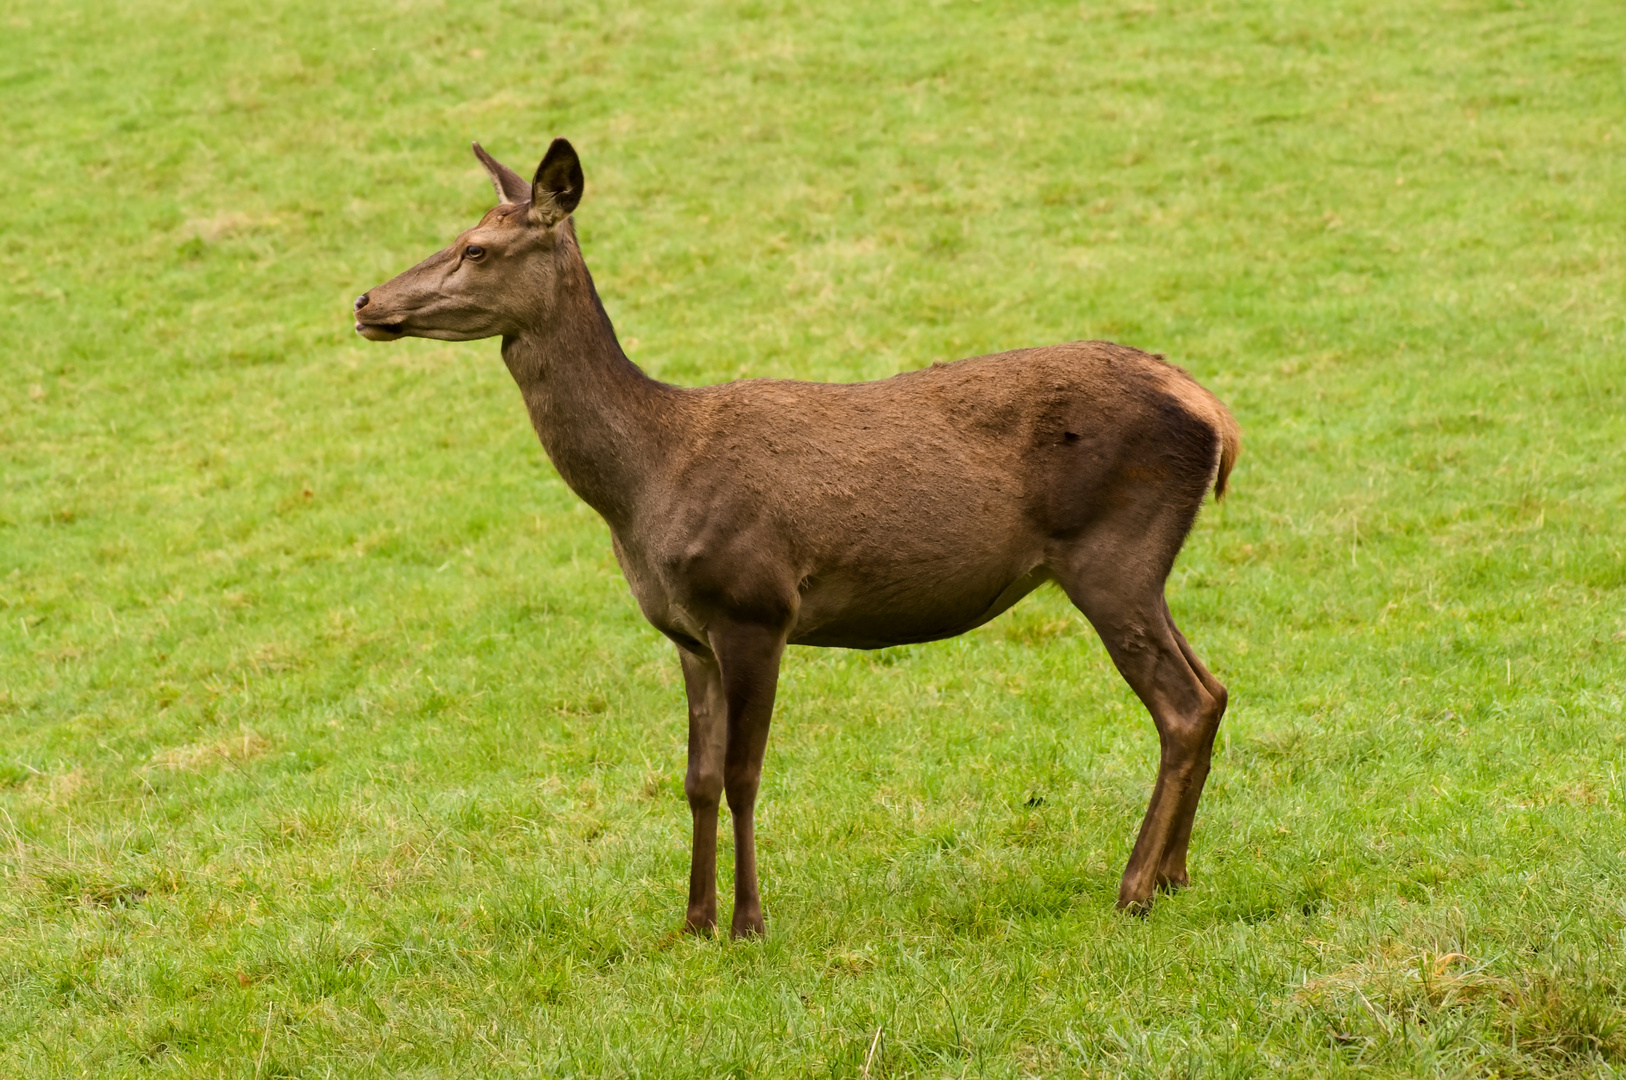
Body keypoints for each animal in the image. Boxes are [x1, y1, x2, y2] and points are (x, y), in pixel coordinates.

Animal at [356, 137, 1235, 936]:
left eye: (476, 248)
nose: (365, 301)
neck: (644, 484)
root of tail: (1213, 411)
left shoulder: (755, 605)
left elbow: (744, 772)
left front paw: (748, 922)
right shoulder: (688, 632)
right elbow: (697, 777)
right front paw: (694, 920)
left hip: (1110, 551)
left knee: (1184, 703)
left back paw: (1133, 888)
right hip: (1140, 565)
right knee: (1215, 687)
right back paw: (1175, 876)